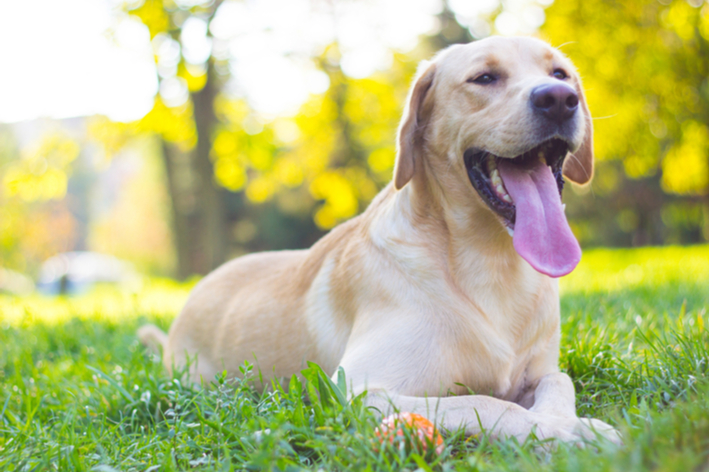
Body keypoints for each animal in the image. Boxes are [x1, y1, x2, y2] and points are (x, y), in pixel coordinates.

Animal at [139, 35, 624, 444]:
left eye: (560, 73)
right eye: (485, 78)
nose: (558, 99)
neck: (491, 258)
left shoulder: (539, 370)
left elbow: (558, 380)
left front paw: (567, 420)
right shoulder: (357, 391)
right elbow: (488, 403)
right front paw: (561, 429)